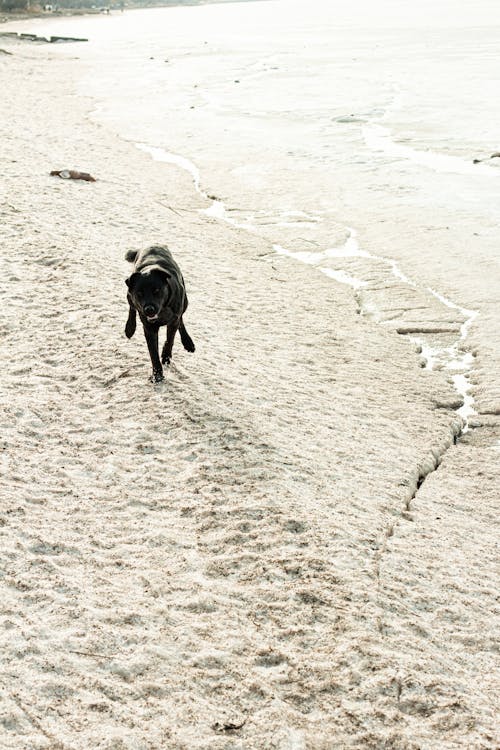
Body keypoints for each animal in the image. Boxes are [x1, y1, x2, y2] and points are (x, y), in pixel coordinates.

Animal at [124, 245, 194, 382]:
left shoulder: (173, 320)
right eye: (139, 293)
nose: (149, 309)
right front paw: (157, 376)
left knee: (181, 320)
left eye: (156, 290)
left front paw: (166, 357)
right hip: (129, 295)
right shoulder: (149, 327)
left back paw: (188, 342)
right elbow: (153, 353)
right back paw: (129, 328)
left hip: (185, 302)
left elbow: (170, 339)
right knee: (131, 308)